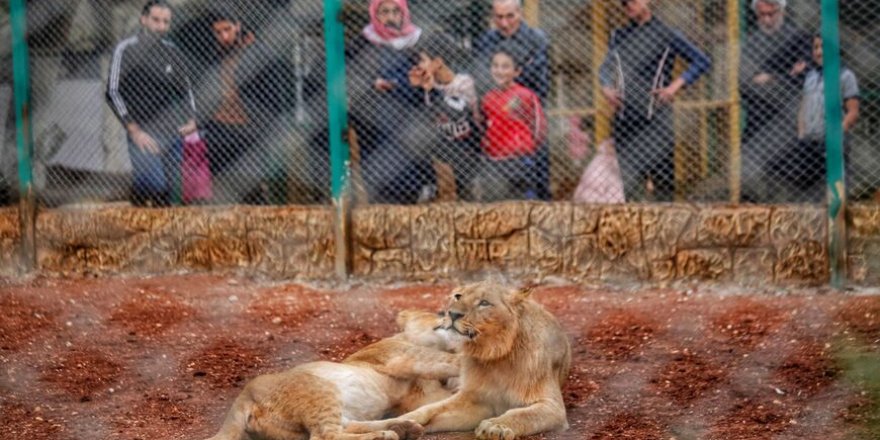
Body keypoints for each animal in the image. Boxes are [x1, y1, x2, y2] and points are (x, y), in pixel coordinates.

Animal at [202, 310, 458, 440]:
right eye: (437, 312)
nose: (453, 315)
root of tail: (245, 395)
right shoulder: (406, 357)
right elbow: (449, 361)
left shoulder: (423, 395)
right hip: (320, 391)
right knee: (326, 436)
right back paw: (386, 435)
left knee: (347, 426)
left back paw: (402, 428)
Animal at [348, 282, 576, 440]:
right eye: (458, 296)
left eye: (484, 303)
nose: (452, 313)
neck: (493, 357)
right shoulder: (476, 401)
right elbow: (430, 411)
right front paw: (403, 424)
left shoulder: (552, 407)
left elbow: (522, 414)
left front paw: (495, 427)